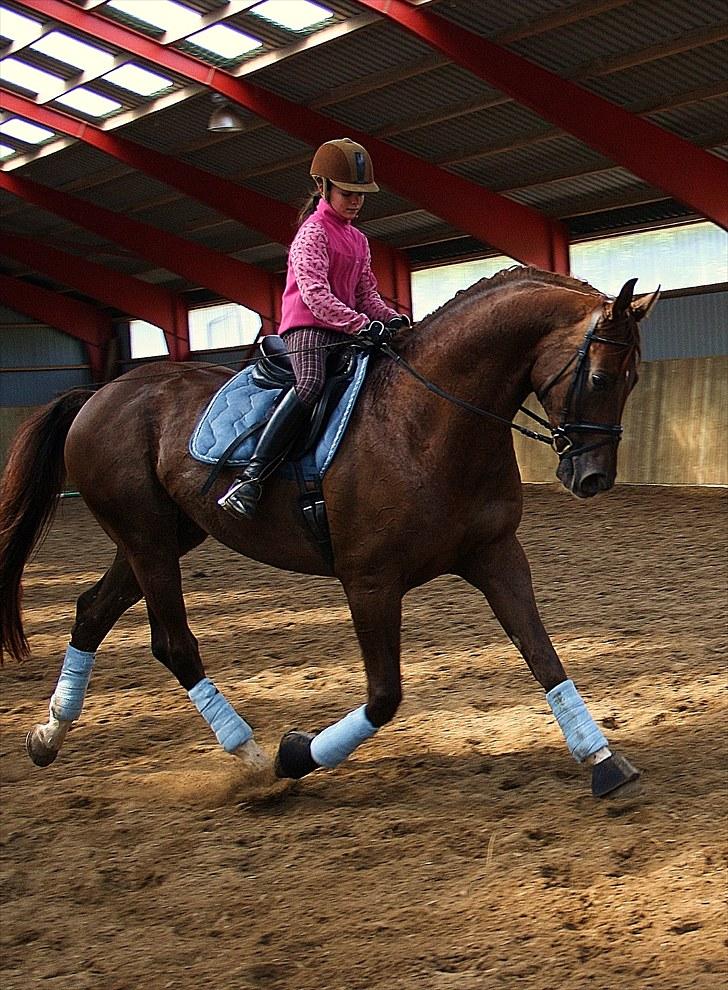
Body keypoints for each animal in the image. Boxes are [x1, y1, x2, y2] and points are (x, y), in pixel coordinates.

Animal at [0, 268, 656, 804]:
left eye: (633, 381)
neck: (430, 421)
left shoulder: (496, 556)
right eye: (600, 377)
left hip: (159, 538)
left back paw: (47, 736)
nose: (593, 478)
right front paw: (294, 755)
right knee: (174, 644)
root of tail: (100, 393)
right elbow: (385, 695)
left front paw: (603, 760)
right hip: (149, 542)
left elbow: (544, 656)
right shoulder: (369, 582)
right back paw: (253, 758)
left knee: (91, 611)